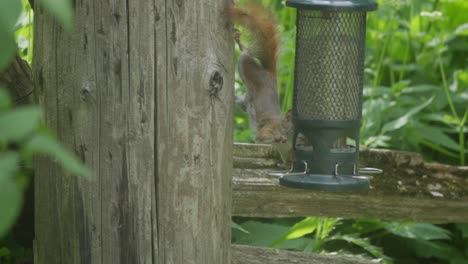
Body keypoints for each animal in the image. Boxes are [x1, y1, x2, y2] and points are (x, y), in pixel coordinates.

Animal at [228, 2, 290, 146]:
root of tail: (270, 75)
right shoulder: (269, 126)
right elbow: (262, 136)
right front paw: (275, 139)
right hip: (246, 67)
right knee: (245, 53)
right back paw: (238, 40)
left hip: (245, 102)